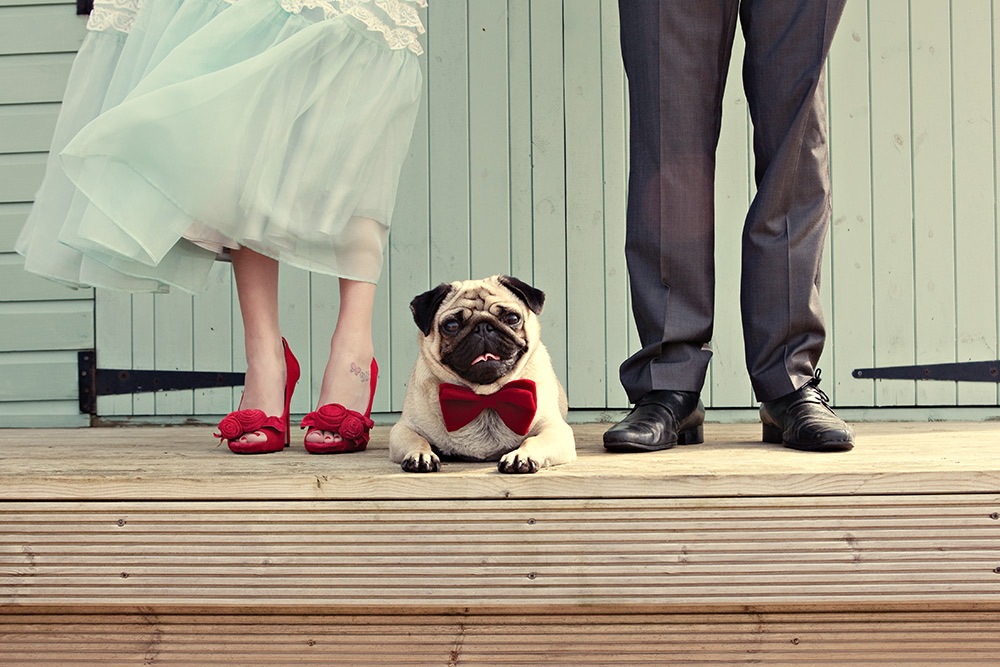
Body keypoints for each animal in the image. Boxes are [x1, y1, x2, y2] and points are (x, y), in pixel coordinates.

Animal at [390, 274, 580, 472]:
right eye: (451, 325)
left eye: (512, 318)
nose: (482, 327)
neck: (486, 395)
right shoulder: (403, 429)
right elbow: (417, 439)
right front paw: (420, 455)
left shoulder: (556, 430)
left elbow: (534, 441)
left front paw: (521, 455)